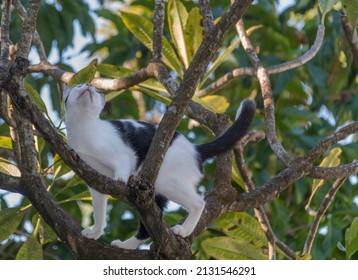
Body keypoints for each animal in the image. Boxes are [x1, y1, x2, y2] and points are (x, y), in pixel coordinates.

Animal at [63, 82, 256, 249]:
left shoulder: (124, 155)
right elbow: (100, 214)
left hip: (166, 180)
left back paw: (184, 230)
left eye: (95, 90)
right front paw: (95, 233)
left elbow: (122, 166)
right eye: (79, 85)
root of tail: (195, 149)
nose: (88, 85)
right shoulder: (95, 184)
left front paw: (120, 179)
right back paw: (126, 245)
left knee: (198, 203)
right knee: (148, 226)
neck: (85, 131)